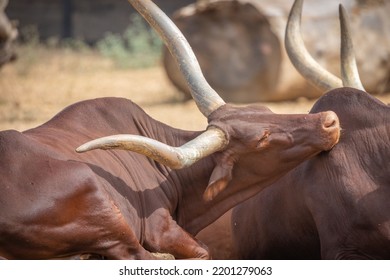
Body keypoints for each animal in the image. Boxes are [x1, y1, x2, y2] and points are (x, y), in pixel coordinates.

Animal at [0, 0, 342, 260]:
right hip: (100, 203)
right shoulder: (159, 230)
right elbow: (200, 252)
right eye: (263, 139)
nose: (329, 120)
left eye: (266, 111)